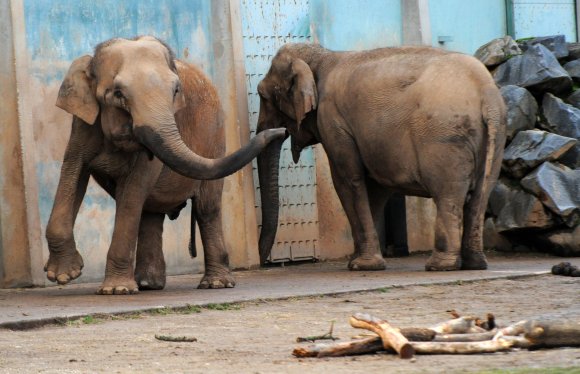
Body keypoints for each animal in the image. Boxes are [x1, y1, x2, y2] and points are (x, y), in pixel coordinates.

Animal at [45, 35, 286, 296]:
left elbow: (132, 190)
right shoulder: (83, 125)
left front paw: (117, 289)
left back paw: (215, 284)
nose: (282, 130)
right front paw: (64, 275)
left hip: (216, 137)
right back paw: (148, 284)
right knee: (150, 211)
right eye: (117, 94)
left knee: (206, 208)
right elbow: (73, 170)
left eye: (176, 91)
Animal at [256, 43, 506, 272]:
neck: (322, 56)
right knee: (479, 196)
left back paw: (439, 266)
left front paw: (361, 265)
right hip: (494, 140)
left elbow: (348, 182)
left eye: (263, 96)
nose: (262, 261)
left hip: (444, 138)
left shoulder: (333, 120)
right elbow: (374, 188)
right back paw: (475, 264)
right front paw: (360, 261)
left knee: (448, 194)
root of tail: (487, 94)